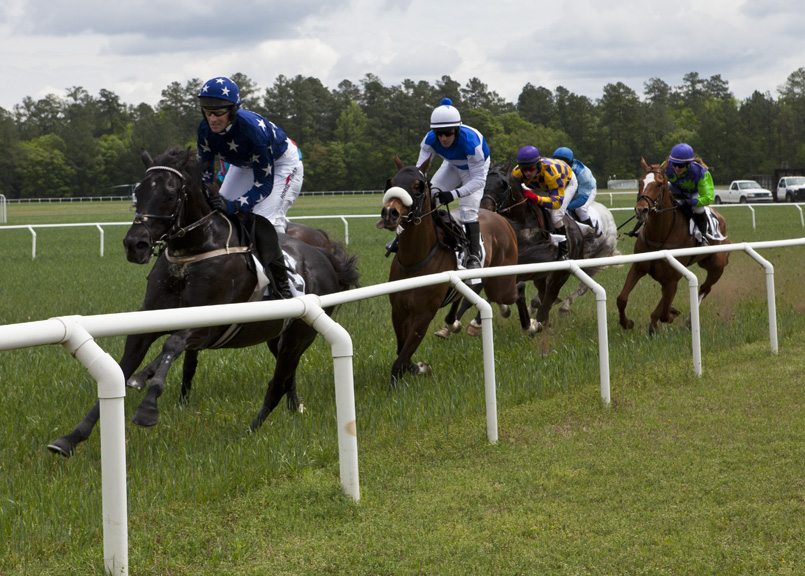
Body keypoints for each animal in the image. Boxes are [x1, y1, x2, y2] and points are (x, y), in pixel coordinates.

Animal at [45, 148, 356, 460]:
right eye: (138, 192)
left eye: (170, 193)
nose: (136, 244)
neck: (193, 251)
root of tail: (325, 257)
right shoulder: (149, 320)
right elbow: (122, 372)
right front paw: (70, 438)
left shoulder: (211, 326)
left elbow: (172, 345)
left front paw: (148, 407)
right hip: (274, 335)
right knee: (286, 375)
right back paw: (289, 409)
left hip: (300, 335)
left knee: (277, 383)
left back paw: (248, 432)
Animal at [376, 154, 520, 388]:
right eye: (392, 183)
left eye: (416, 186)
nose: (390, 212)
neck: (415, 260)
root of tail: (497, 216)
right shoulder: (398, 310)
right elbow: (402, 352)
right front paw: (419, 367)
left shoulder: (424, 314)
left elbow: (401, 359)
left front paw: (396, 386)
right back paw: (453, 324)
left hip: (501, 277)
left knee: (514, 289)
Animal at [616, 160, 728, 336]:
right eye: (640, 182)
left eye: (659, 184)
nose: (641, 210)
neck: (659, 235)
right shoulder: (639, 267)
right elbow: (621, 299)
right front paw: (627, 323)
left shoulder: (674, 277)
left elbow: (663, 312)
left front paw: (669, 315)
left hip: (716, 266)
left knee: (705, 288)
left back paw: (689, 320)